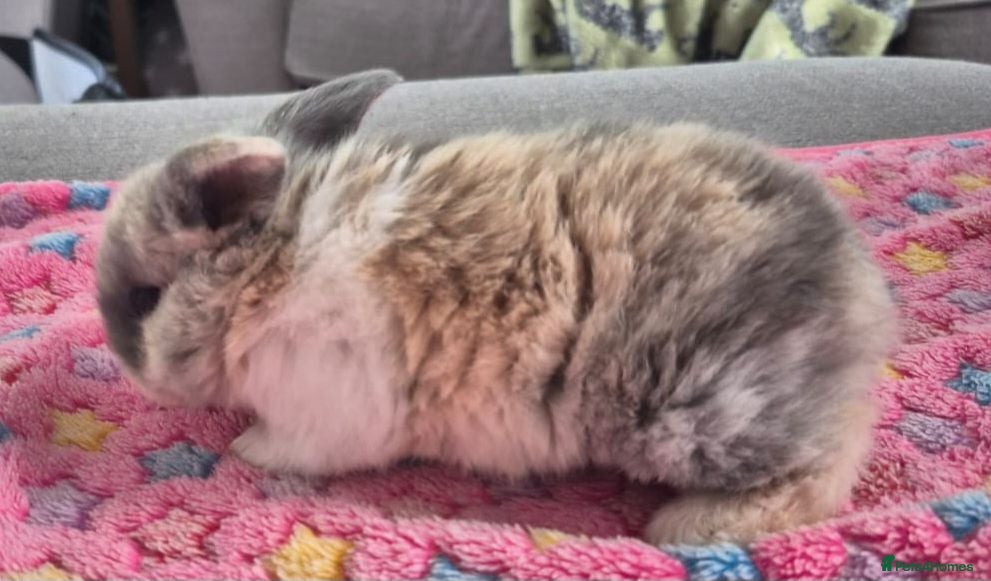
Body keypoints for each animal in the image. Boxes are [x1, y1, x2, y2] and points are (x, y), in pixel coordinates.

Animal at [96, 70, 896, 545]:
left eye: (143, 299)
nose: (133, 374)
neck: (266, 270)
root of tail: (857, 292)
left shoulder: (326, 407)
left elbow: (293, 446)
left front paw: (245, 450)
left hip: (694, 409)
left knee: (827, 466)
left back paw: (685, 526)